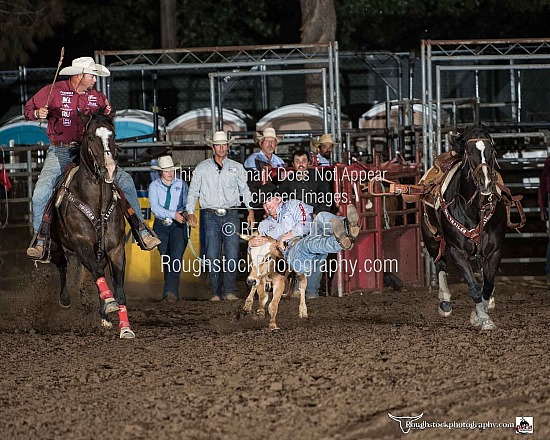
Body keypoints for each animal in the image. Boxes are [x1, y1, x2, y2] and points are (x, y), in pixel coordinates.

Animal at [50, 111, 135, 338]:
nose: (110, 169)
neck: (96, 202)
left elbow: (120, 289)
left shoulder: (115, 249)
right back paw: (65, 299)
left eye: (113, 135)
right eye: (90, 137)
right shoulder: (82, 244)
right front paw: (109, 303)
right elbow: (97, 273)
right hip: (56, 245)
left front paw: (124, 327)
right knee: (62, 266)